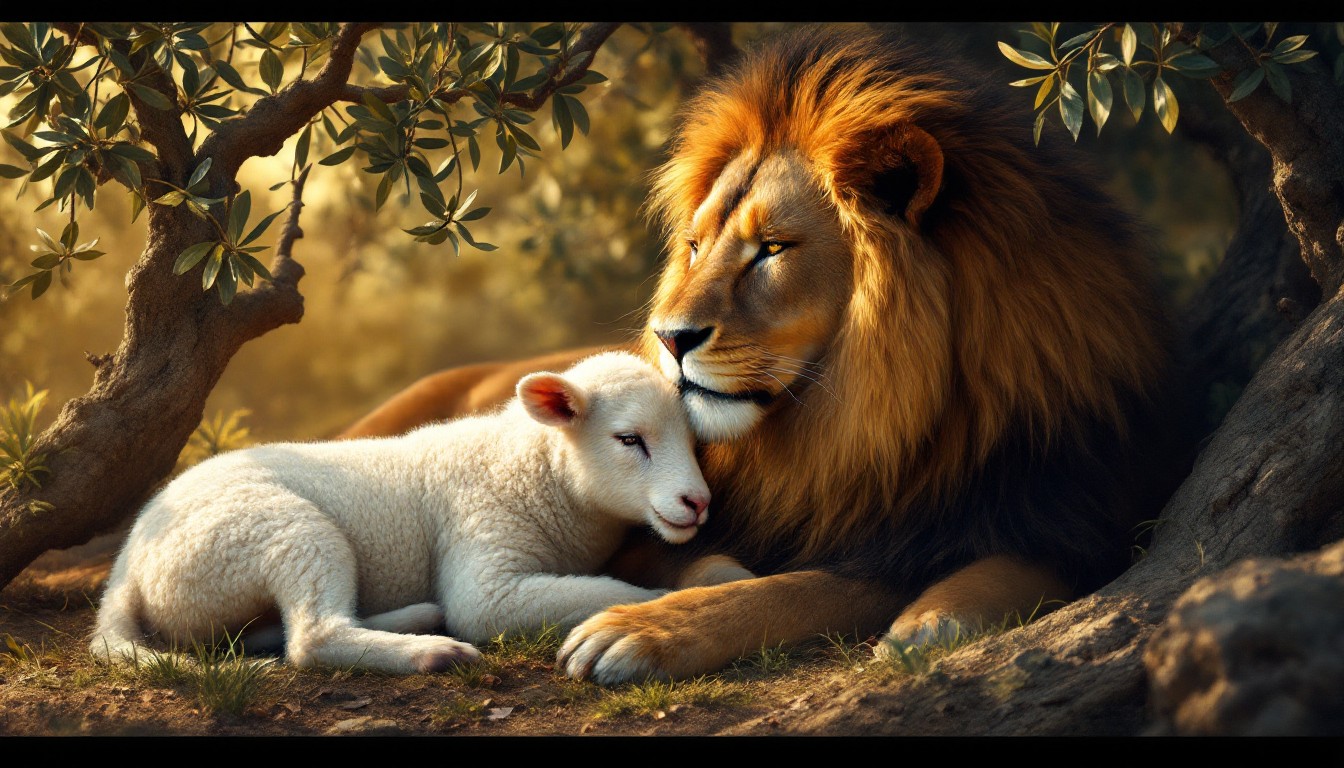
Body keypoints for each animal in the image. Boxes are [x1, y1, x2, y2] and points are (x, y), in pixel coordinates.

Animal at [88, 351, 713, 675]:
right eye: (629, 439)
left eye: (695, 440)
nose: (698, 502)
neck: (539, 467)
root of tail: (126, 568)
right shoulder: (485, 568)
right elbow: (590, 591)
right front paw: (666, 601)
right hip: (278, 531)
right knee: (311, 639)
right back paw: (431, 651)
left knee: (270, 633)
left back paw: (416, 617)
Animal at [341, 26, 1185, 683]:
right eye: (694, 246)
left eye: (771, 250)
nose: (671, 337)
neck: (870, 425)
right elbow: (758, 579)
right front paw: (653, 618)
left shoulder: (1068, 506)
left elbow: (992, 567)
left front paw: (933, 619)